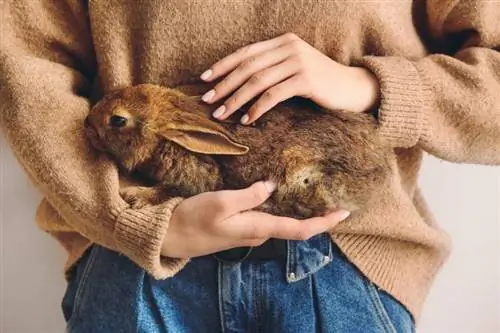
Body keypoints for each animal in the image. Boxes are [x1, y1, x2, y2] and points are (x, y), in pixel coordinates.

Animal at [85, 83, 394, 218]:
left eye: (118, 120)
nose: (87, 122)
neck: (166, 139)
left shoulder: (196, 178)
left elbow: (172, 190)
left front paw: (136, 196)